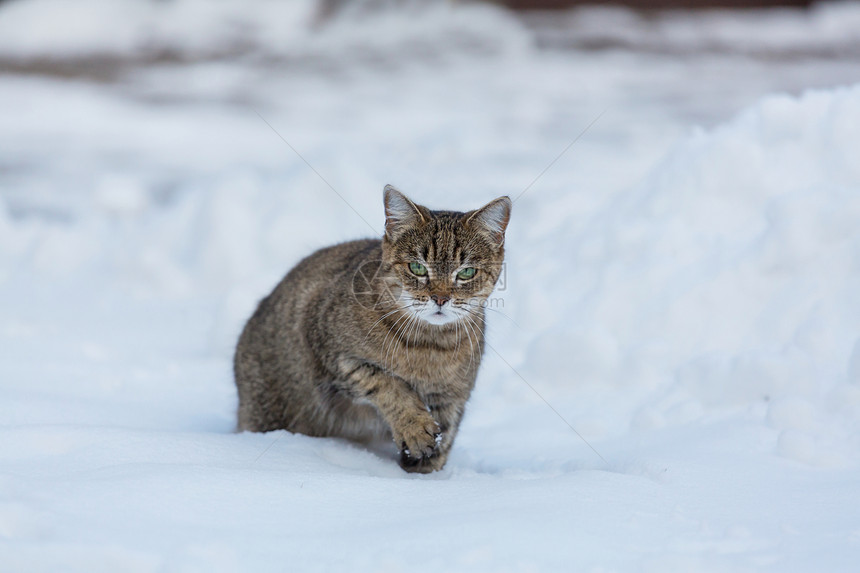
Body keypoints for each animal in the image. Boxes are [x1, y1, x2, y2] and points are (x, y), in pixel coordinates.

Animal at [233, 185, 510, 472]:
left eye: (466, 273)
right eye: (417, 267)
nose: (441, 298)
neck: (428, 346)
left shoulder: (452, 398)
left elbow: (443, 440)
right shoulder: (332, 353)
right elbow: (387, 383)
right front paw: (414, 427)